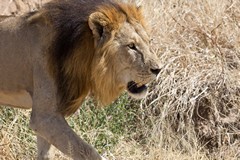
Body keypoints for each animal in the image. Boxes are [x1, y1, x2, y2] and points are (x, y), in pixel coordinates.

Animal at [0, 0, 160, 159]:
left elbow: (46, 154)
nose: (158, 69)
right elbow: (88, 151)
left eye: (149, 42)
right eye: (131, 46)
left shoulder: (47, 118)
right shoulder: (44, 117)